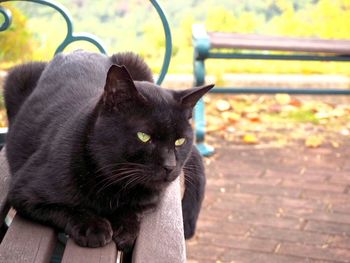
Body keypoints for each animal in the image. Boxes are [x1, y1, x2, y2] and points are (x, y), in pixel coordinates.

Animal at [3, 51, 213, 252]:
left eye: (180, 141)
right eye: (144, 136)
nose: (170, 166)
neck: (114, 185)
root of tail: (79, 51)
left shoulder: (150, 198)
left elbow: (134, 209)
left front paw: (125, 229)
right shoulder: (24, 191)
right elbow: (68, 208)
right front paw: (93, 227)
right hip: (17, 76)